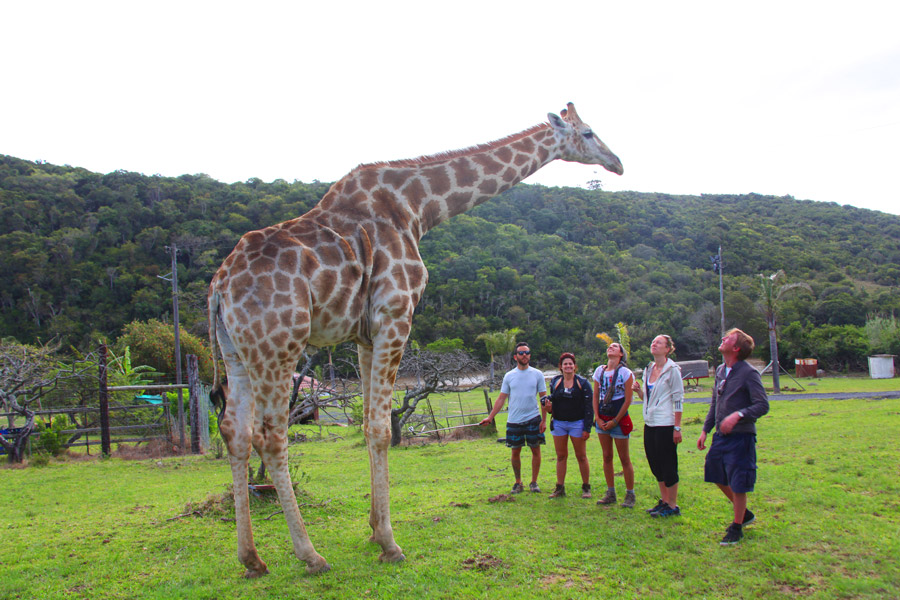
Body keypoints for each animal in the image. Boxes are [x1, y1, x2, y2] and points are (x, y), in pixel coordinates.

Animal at [207, 103, 624, 576]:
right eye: (588, 133)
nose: (617, 163)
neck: (418, 208)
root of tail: (219, 286)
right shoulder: (396, 314)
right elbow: (380, 428)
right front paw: (390, 543)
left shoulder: (366, 334)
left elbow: (369, 423)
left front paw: (374, 530)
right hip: (279, 346)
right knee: (272, 435)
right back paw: (310, 555)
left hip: (237, 352)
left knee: (234, 431)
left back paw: (251, 557)